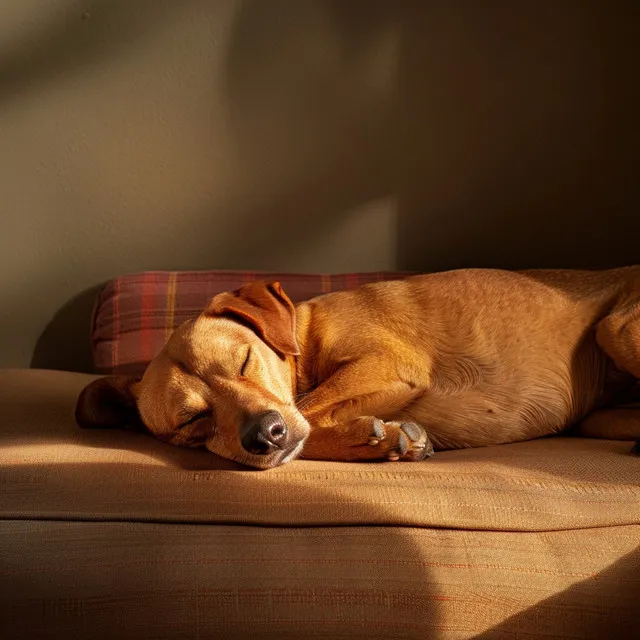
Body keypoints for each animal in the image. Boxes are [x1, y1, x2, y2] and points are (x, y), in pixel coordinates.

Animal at [77, 268, 640, 468]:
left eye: (243, 360)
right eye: (193, 420)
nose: (266, 435)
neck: (303, 338)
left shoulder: (389, 362)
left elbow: (309, 410)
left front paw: (365, 437)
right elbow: (311, 422)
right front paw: (376, 440)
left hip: (617, 328)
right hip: (602, 415)